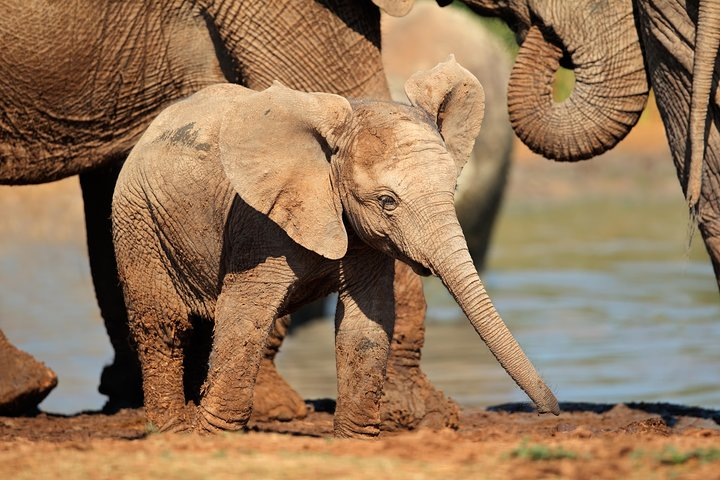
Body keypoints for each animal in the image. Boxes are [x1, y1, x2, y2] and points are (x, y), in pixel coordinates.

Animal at [112, 58, 556, 436]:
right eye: (387, 202)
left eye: (454, 189)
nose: (550, 412)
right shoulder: (259, 221)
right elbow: (244, 318)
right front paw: (212, 438)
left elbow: (366, 322)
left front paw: (356, 442)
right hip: (137, 217)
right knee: (163, 326)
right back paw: (172, 432)